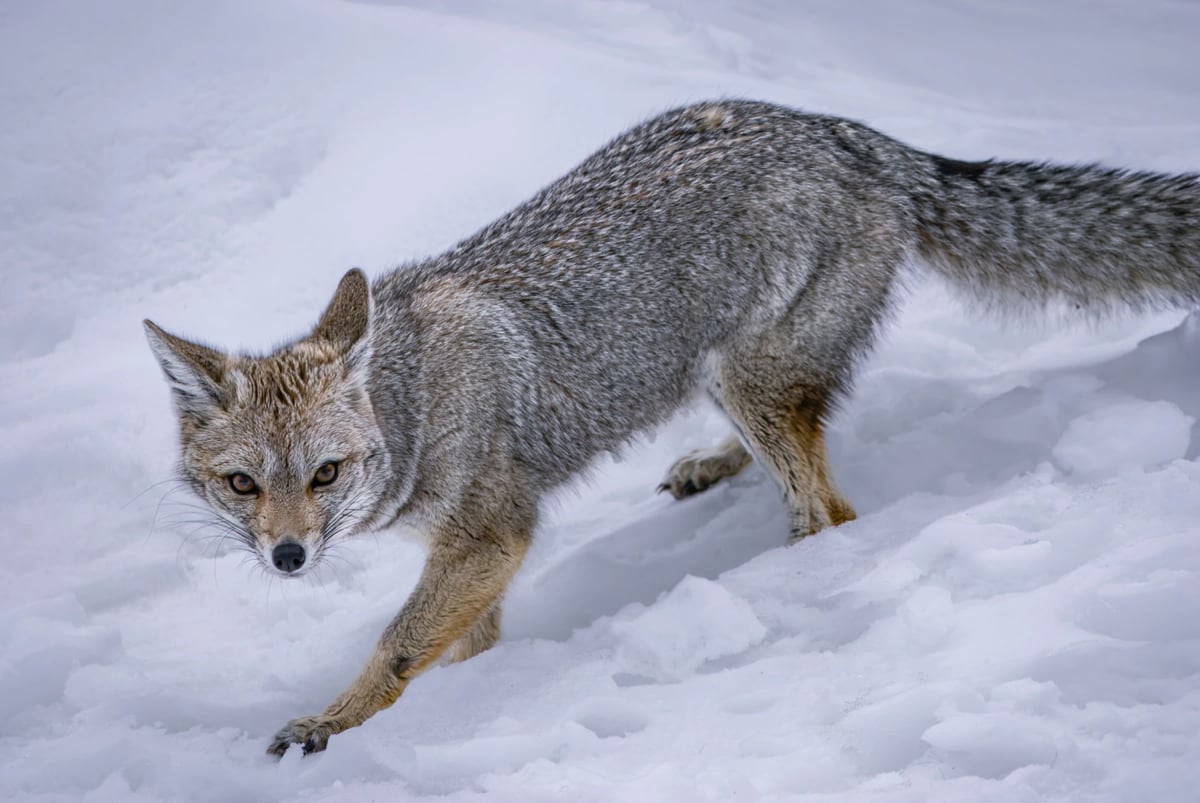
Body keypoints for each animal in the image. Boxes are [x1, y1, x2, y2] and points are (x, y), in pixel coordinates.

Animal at [144, 100, 1200, 756]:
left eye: (324, 474)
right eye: (244, 484)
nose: (286, 556)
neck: (416, 399)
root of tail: (855, 136)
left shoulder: (491, 534)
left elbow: (398, 645)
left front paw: (330, 725)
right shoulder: (472, 555)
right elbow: (460, 648)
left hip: (750, 379)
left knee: (832, 509)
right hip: (728, 376)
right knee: (806, 453)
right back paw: (712, 469)